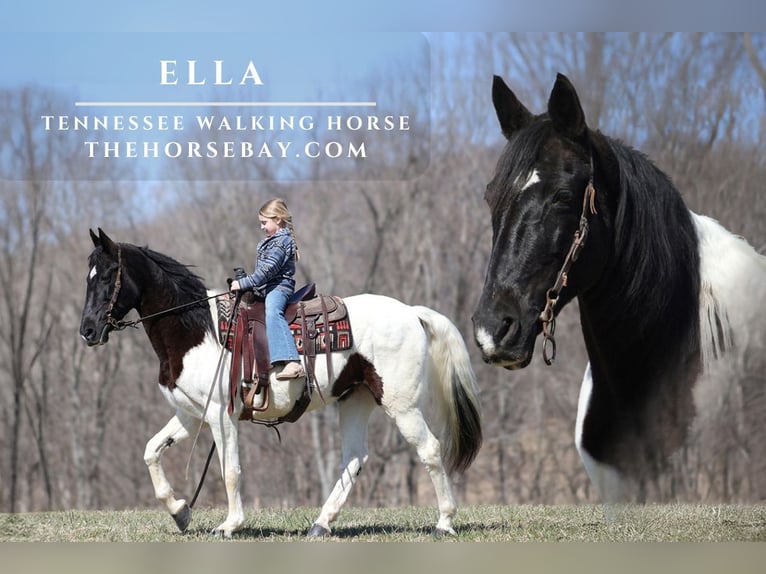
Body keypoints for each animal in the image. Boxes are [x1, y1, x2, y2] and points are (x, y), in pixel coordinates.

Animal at [79, 230, 486, 540]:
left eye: (107, 275)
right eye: (89, 276)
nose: (87, 331)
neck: (197, 330)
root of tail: (412, 313)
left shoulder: (221, 416)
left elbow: (230, 471)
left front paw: (229, 525)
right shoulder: (191, 415)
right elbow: (151, 451)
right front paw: (180, 511)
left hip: (402, 404)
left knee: (430, 450)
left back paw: (444, 522)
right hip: (356, 398)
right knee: (354, 459)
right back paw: (321, 524)